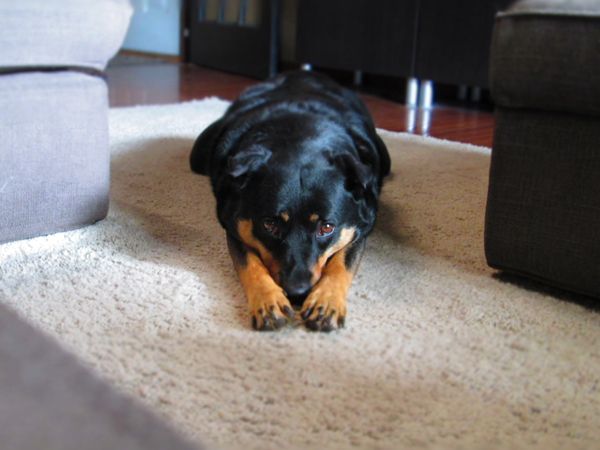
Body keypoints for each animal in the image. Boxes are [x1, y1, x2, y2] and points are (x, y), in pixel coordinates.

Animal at [190, 70, 392, 330]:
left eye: (327, 227)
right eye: (269, 224)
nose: (297, 294)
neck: (300, 137)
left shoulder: (360, 225)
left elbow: (341, 262)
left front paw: (326, 302)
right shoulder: (235, 225)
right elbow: (250, 263)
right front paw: (268, 301)